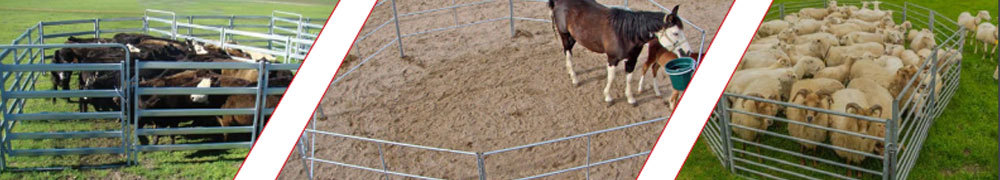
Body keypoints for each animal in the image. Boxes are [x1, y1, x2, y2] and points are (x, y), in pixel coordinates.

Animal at [552, 0, 692, 105]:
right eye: (675, 33)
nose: (688, 52)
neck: (626, 34)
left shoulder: (632, 60)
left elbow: (629, 78)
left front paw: (630, 98)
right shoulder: (612, 59)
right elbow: (611, 77)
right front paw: (608, 97)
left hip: (573, 37)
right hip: (565, 35)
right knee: (568, 53)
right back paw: (574, 78)